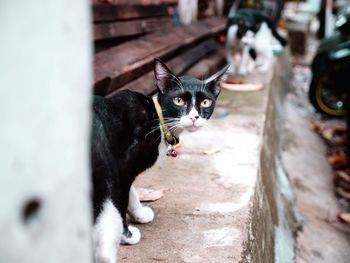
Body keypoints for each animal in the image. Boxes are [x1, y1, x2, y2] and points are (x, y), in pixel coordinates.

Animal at [90, 58, 228, 262]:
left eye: (205, 102)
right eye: (178, 100)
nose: (194, 117)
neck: (156, 118)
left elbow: (132, 191)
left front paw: (139, 213)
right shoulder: (120, 166)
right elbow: (122, 198)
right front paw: (127, 235)